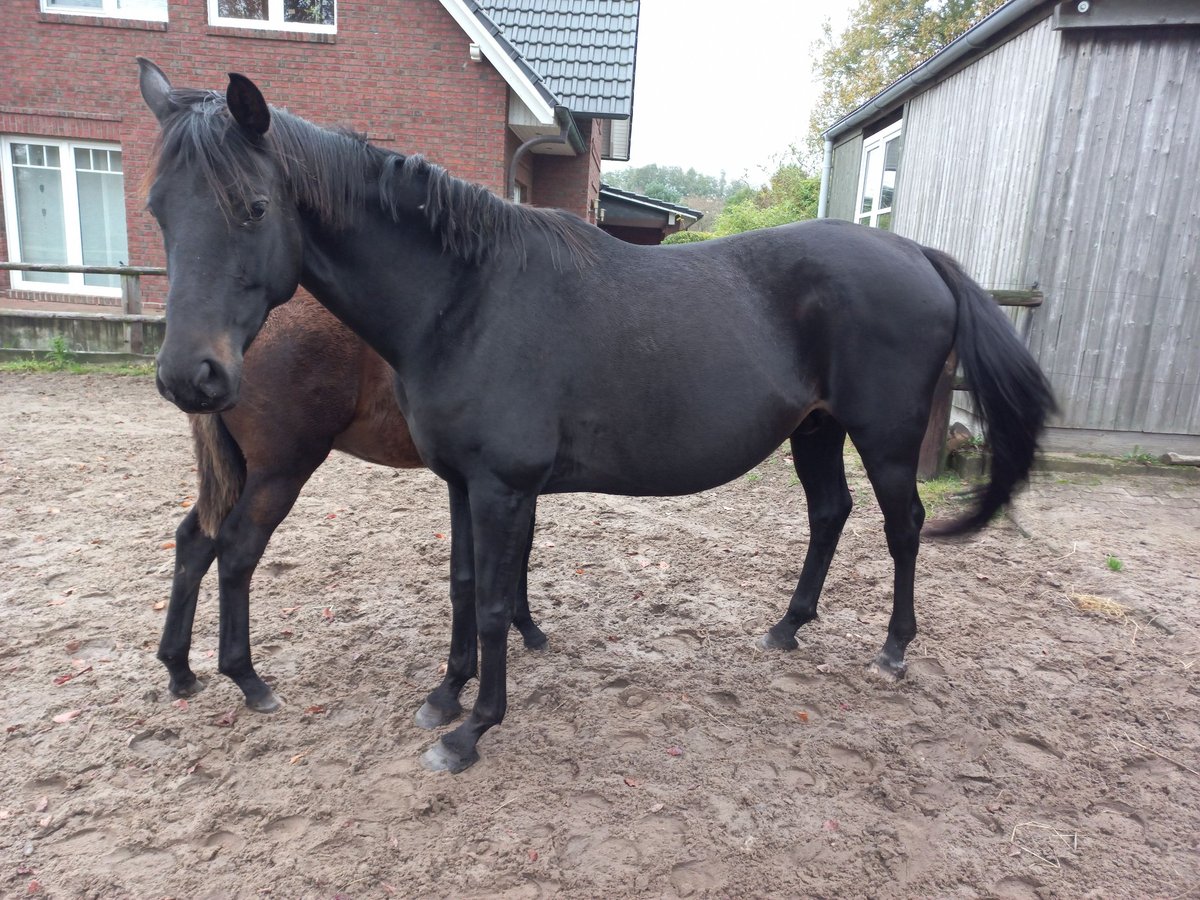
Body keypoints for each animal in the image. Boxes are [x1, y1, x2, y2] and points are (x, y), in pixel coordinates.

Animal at [160, 292, 549, 715]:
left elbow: (521, 551)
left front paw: (523, 625)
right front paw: (528, 628)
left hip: (241, 472)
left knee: (196, 542)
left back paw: (179, 669)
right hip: (279, 472)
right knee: (236, 550)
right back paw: (248, 679)